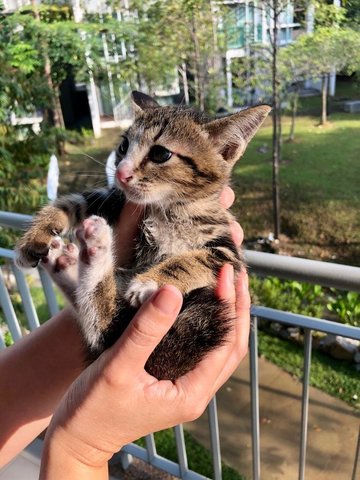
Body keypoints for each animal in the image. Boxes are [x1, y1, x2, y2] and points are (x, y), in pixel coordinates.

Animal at [16, 92, 270, 380]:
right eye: (124, 146)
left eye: (160, 153)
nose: (120, 172)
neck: (167, 208)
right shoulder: (116, 200)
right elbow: (76, 202)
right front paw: (38, 233)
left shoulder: (229, 252)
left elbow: (196, 259)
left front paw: (151, 281)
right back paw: (75, 257)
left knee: (108, 329)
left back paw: (86, 251)